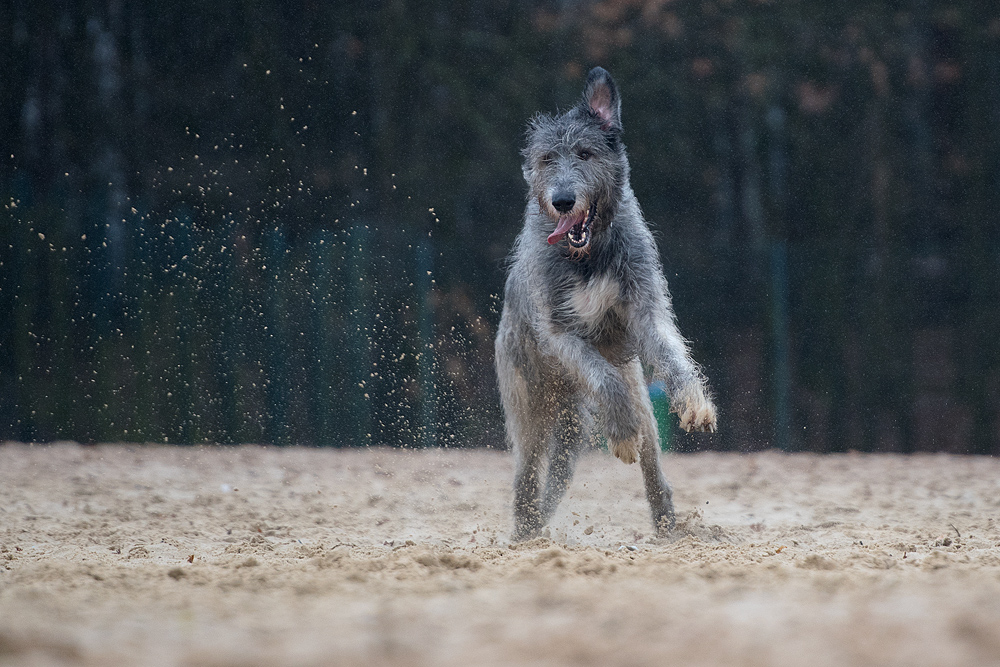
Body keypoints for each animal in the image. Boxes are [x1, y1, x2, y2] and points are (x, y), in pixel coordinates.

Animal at [494, 65, 716, 540]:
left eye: (585, 152)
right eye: (546, 159)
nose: (562, 200)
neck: (588, 254)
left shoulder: (646, 307)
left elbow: (670, 353)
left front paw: (694, 399)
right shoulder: (558, 332)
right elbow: (601, 374)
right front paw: (620, 433)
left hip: (612, 413)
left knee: (645, 456)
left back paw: (668, 526)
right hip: (529, 403)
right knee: (528, 468)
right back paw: (525, 531)